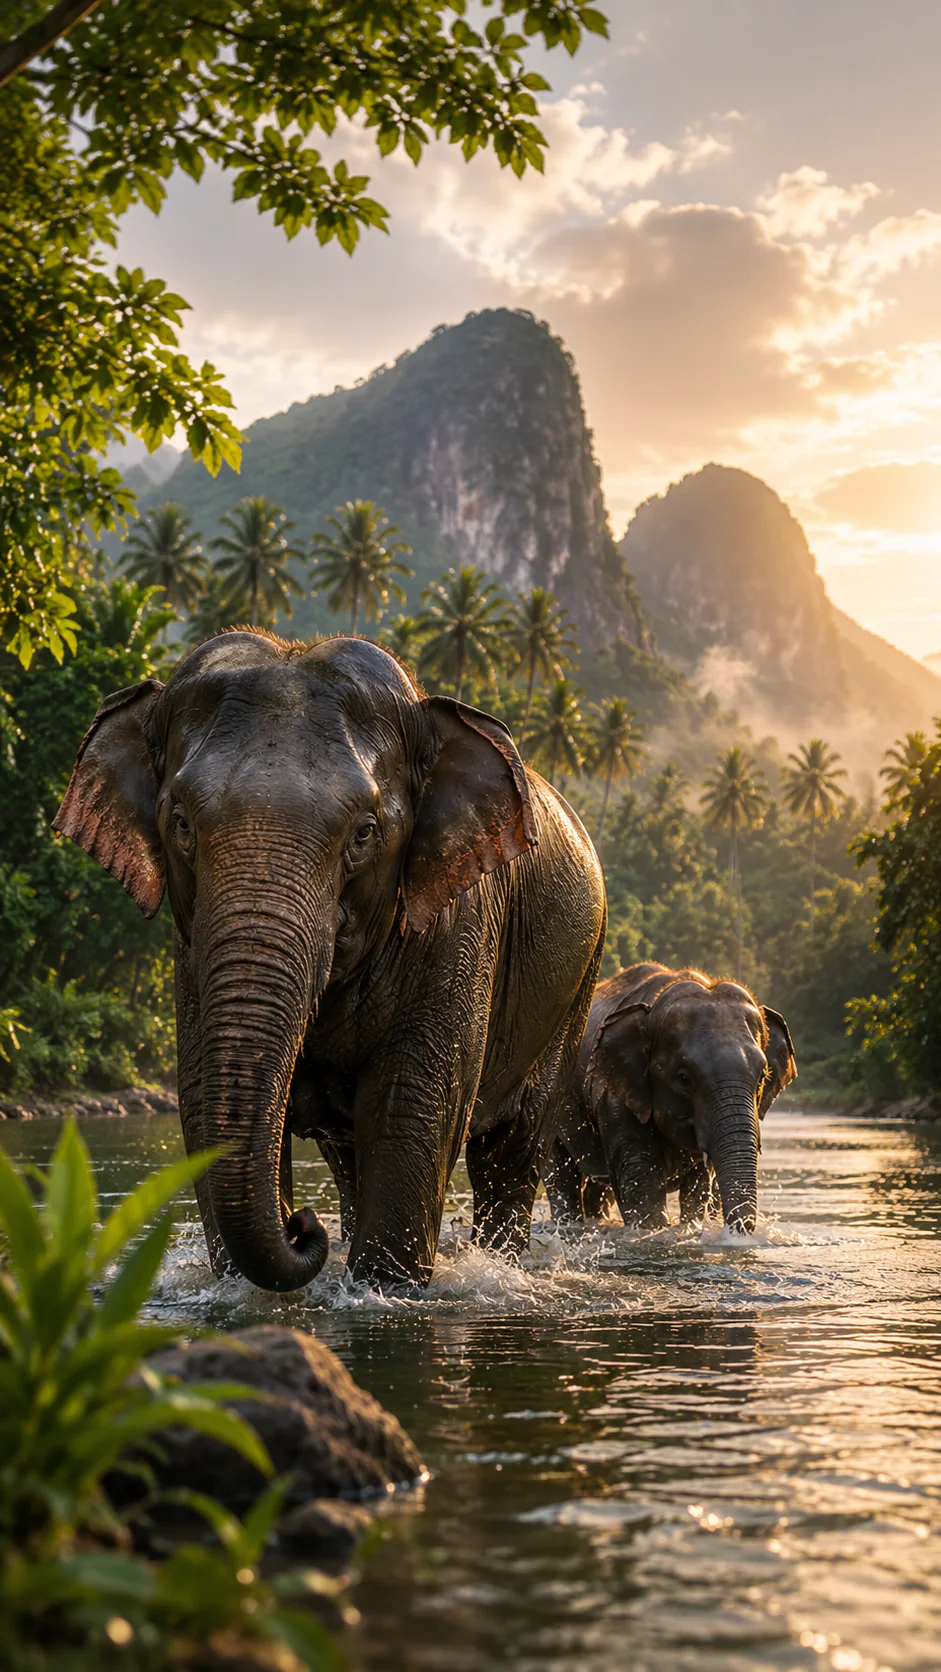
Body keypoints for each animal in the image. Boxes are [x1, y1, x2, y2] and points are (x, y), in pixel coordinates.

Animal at [54, 631, 606, 1292]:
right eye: (181, 823)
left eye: (364, 834)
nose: (302, 1225)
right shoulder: (191, 954)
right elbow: (200, 1104)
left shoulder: (459, 924)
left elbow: (410, 1110)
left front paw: (382, 1291)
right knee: (351, 1157)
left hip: (577, 985)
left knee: (512, 1149)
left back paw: (503, 1260)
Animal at [544, 962, 796, 1234]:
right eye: (684, 1079)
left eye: (762, 1076)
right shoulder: (616, 1100)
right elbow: (641, 1186)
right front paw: (653, 1231)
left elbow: (697, 1188)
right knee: (561, 1175)